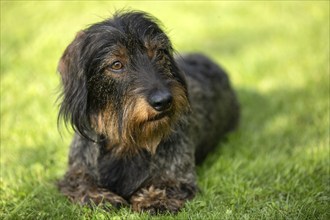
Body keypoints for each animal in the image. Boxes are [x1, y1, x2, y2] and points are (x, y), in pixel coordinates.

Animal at [57, 10, 240, 213]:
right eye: (116, 64)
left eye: (159, 53)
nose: (163, 101)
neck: (128, 140)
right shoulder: (76, 171)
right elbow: (80, 183)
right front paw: (100, 196)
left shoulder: (179, 177)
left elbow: (167, 186)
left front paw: (154, 198)